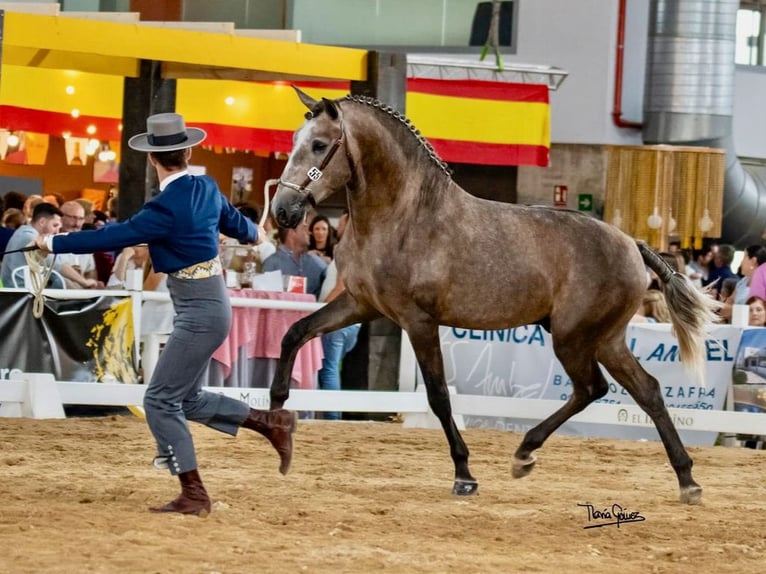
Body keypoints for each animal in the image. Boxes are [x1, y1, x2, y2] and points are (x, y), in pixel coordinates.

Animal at [268, 88, 720, 506]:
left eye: (319, 144)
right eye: (294, 138)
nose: (284, 211)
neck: (403, 217)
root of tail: (633, 245)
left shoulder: (418, 321)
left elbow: (439, 395)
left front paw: (465, 475)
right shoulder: (361, 304)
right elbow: (294, 333)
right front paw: (275, 409)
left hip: (574, 338)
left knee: (594, 388)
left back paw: (526, 454)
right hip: (604, 339)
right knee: (643, 390)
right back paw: (686, 480)